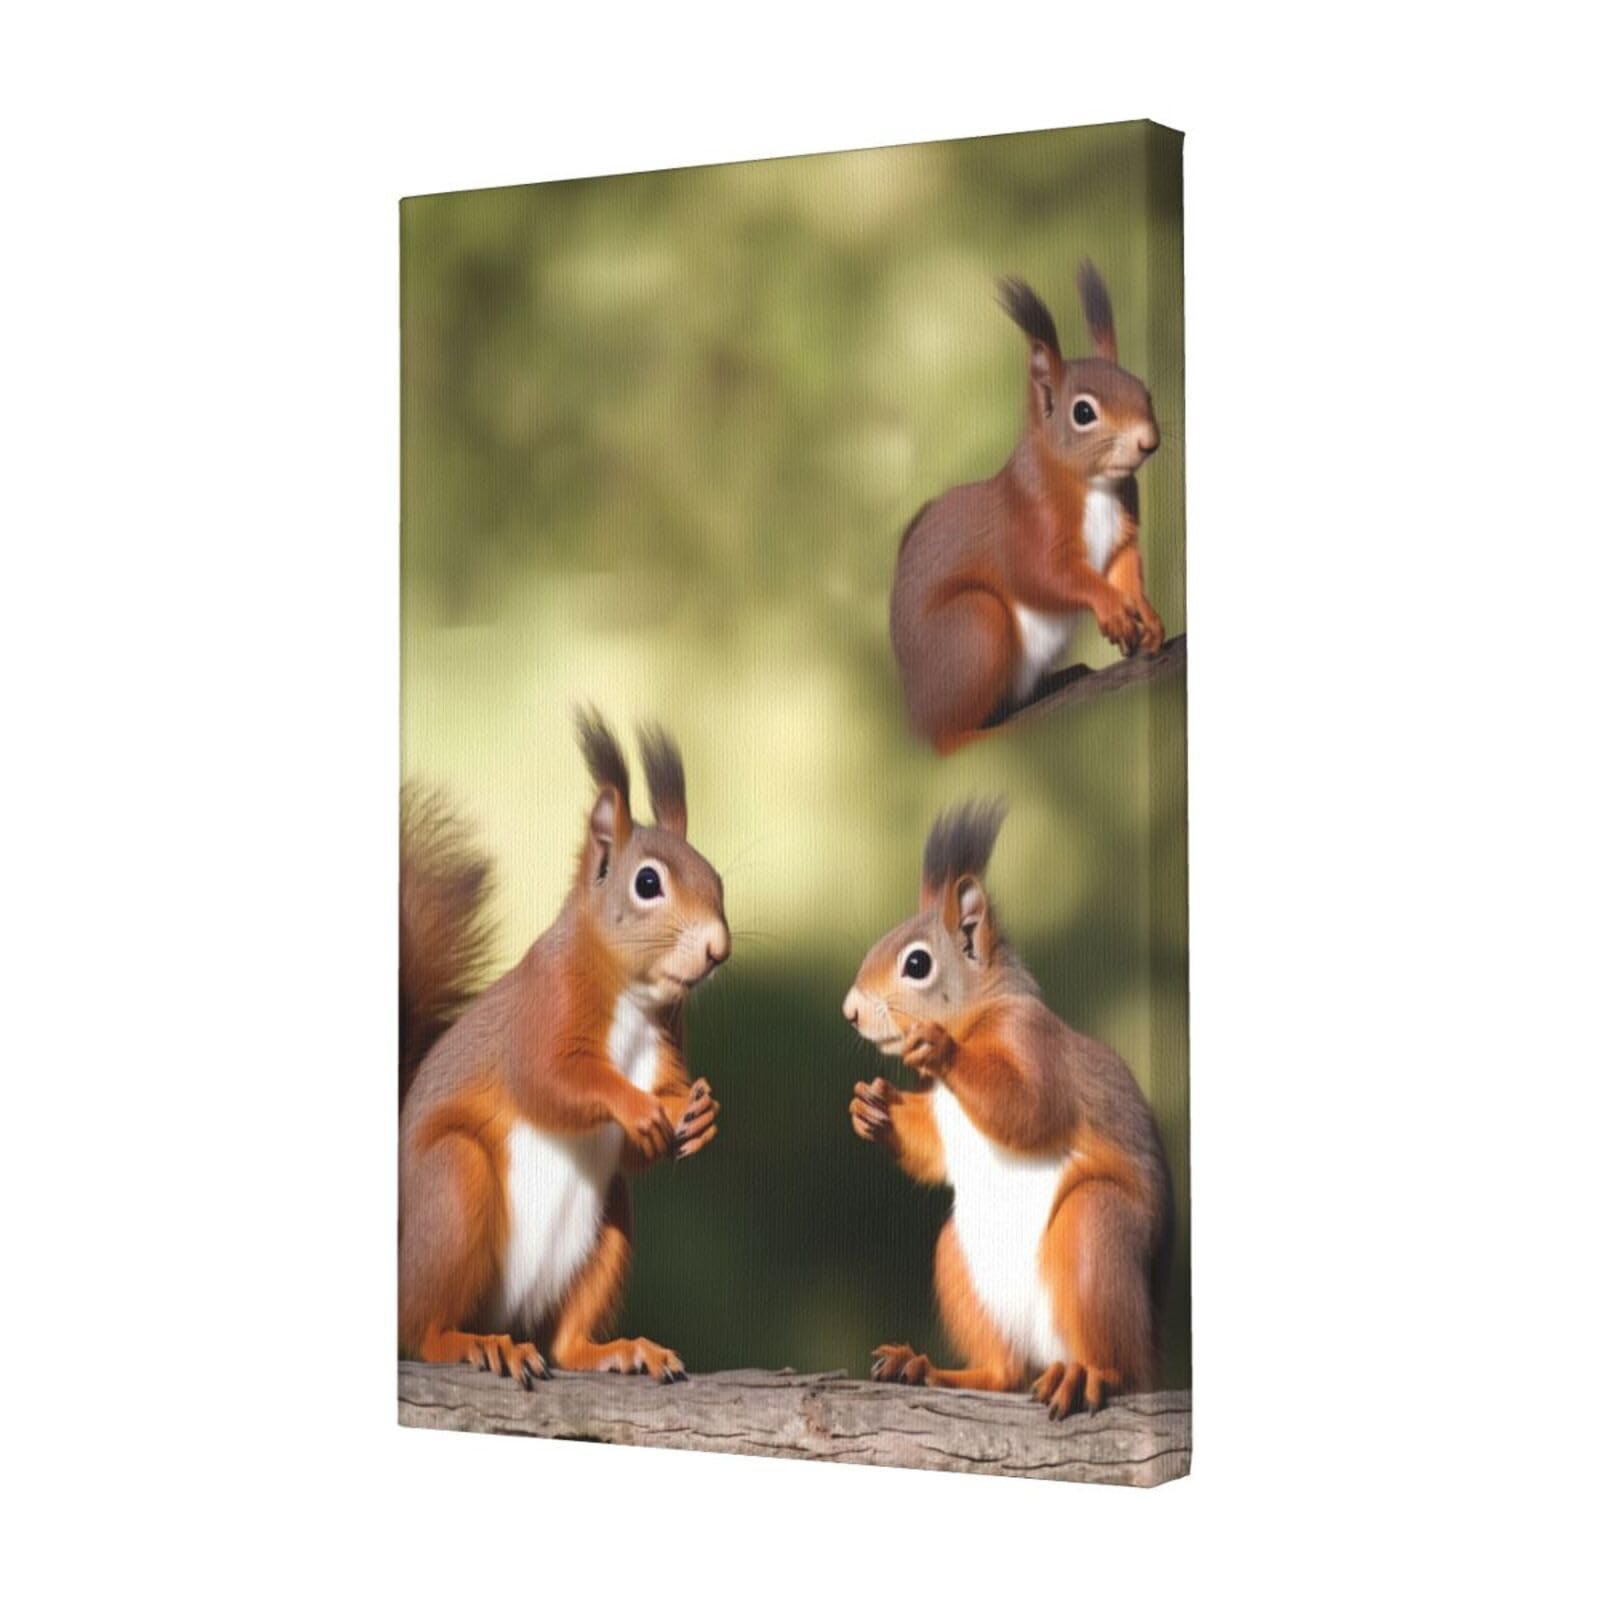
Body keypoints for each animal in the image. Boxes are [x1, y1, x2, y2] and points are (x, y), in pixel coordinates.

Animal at [398, 711, 729, 1385]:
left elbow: (641, 1140)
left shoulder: (665, 1039)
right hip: (451, 1188)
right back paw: (473, 1344)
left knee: (564, 1342)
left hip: (607, 1228)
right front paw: (633, 1106)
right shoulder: (542, 1007)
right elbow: (551, 1081)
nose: (718, 947)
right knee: (420, 1329)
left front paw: (698, 1113)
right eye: (647, 883)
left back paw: (616, 1351)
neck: (633, 1000)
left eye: (716, 878)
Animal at [843, 801, 1170, 1417]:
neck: (979, 1019)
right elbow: (929, 1149)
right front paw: (870, 1107)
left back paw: (1089, 1376)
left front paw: (940, 1047)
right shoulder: (942, 1117)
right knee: (1005, 1372)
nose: (850, 1010)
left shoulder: (1033, 1043)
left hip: (1097, 1233)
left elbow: (1029, 1107)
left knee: (1116, 1364)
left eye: (917, 964)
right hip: (959, 1261)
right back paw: (925, 1368)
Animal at [889, 265, 1165, 753]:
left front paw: (1146, 615)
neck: (1095, 485)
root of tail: (915, 719)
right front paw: (1109, 605)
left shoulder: (1123, 527)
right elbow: (1041, 574)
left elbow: (1124, 568)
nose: (1148, 442)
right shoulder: (1025, 517)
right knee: (949, 739)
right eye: (1083, 412)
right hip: (974, 626)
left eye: (1144, 392)